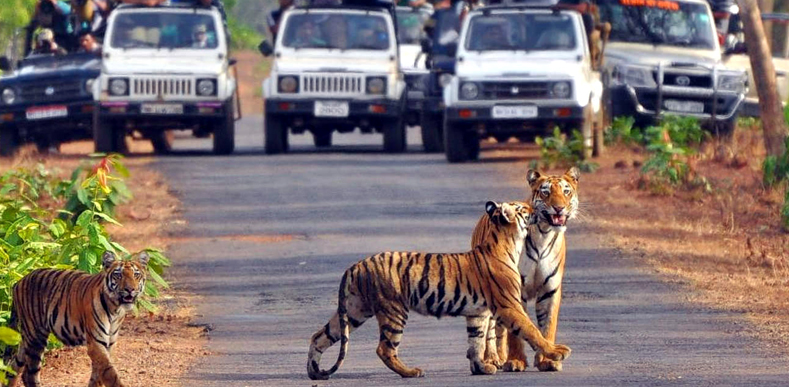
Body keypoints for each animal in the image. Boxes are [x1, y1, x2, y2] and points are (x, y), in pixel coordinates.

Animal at [3, 250, 149, 386]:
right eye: (118, 275)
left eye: (136, 275)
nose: (130, 289)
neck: (115, 309)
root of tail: (18, 282)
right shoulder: (96, 343)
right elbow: (110, 374)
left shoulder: (109, 344)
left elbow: (98, 375)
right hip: (36, 337)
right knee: (29, 374)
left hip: (27, 339)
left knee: (13, 367)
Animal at [304, 202, 568, 380]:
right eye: (523, 208)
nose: (536, 208)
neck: (507, 242)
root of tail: (355, 265)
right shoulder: (509, 305)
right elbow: (532, 331)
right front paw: (557, 352)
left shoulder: (478, 313)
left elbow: (476, 341)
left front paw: (481, 368)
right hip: (393, 310)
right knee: (384, 349)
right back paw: (411, 372)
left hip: (355, 310)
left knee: (319, 336)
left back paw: (314, 372)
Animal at [474, 168, 580, 374]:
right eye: (546, 192)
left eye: (566, 192)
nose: (559, 208)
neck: (544, 234)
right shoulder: (515, 289)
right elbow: (516, 332)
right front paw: (516, 361)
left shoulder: (550, 289)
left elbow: (547, 326)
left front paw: (548, 360)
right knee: (490, 329)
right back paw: (492, 359)